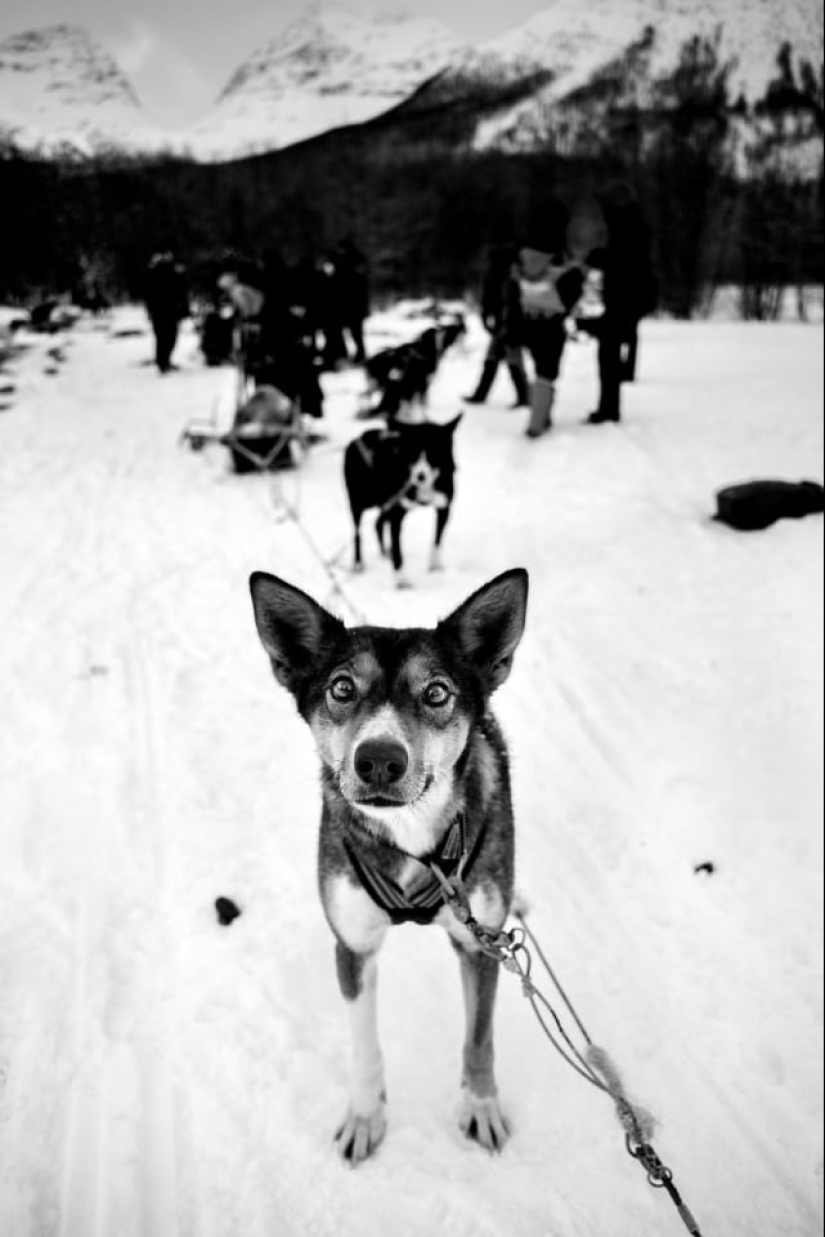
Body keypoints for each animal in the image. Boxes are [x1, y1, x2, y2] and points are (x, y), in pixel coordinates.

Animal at [248, 566, 529, 1162]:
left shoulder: (479, 944)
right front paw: (364, 1116)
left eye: (437, 692)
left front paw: (480, 1105)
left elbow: (479, 1038)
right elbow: (365, 1046)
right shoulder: (353, 946)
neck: (413, 843)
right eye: (342, 687)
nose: (379, 759)